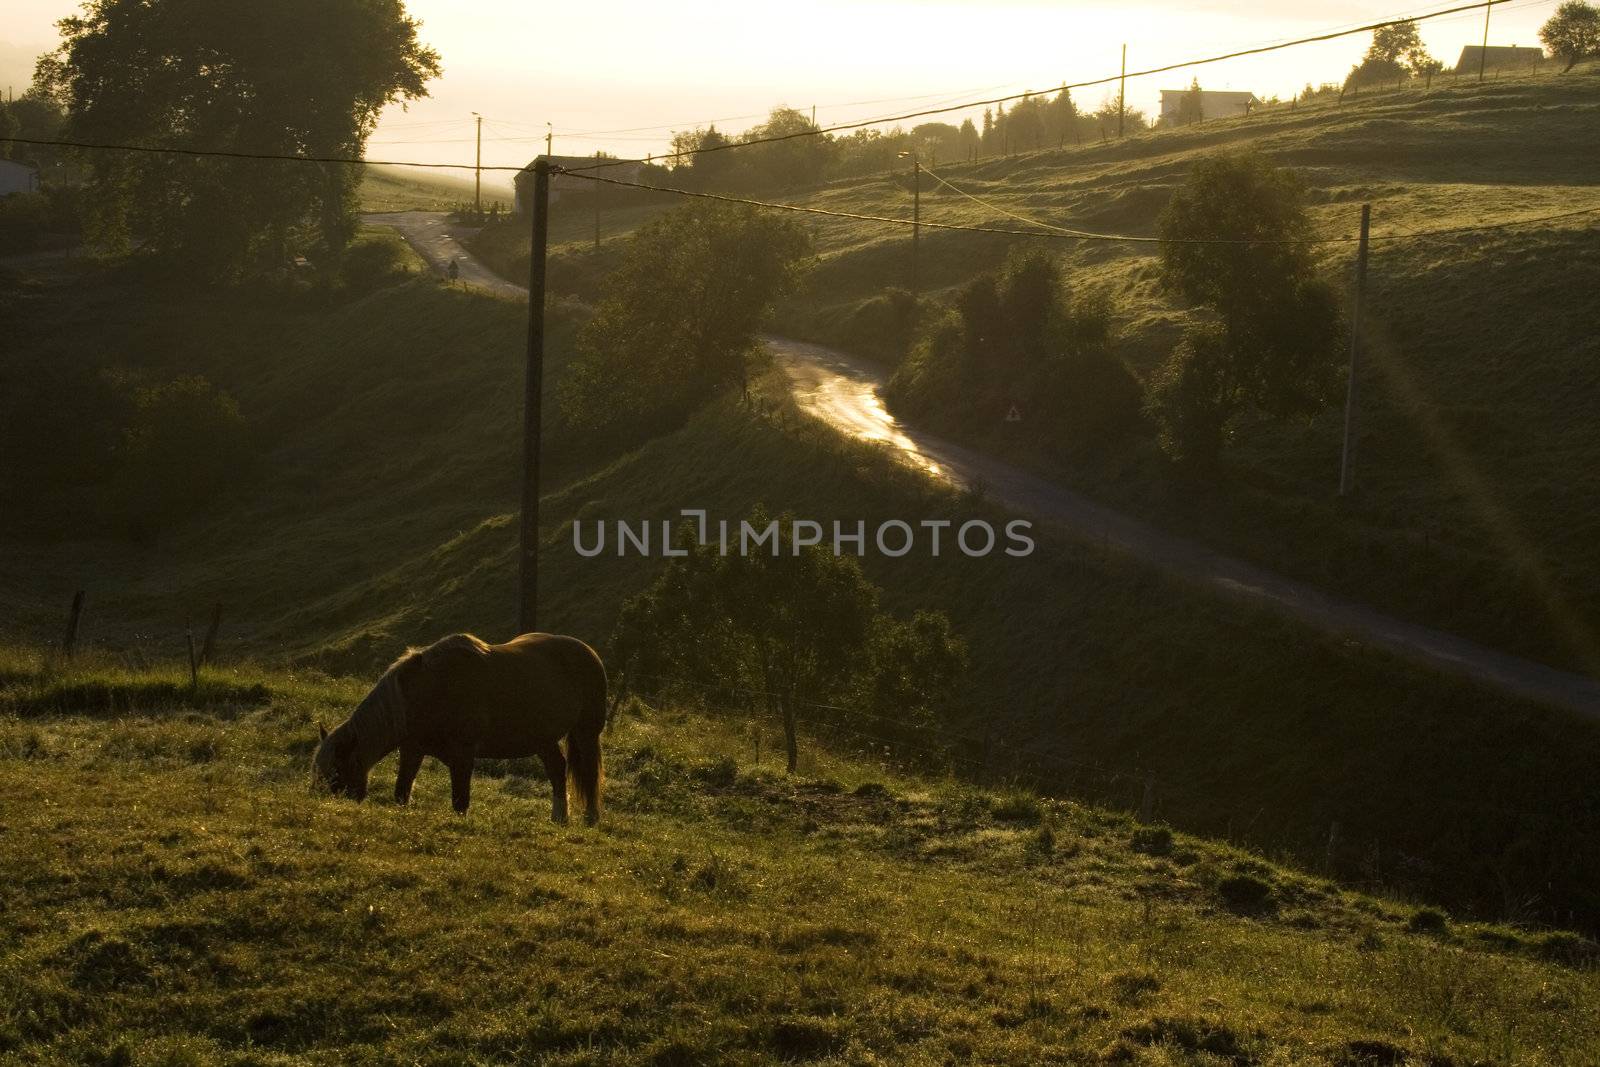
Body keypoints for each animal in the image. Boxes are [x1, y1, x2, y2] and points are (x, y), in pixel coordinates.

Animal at [310, 633, 604, 825]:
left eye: (336, 772)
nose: (319, 806)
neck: (431, 689)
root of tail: (588, 652)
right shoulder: (412, 750)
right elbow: (401, 793)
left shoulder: (462, 754)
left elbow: (460, 802)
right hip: (543, 739)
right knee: (557, 769)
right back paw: (559, 818)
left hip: (586, 733)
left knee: (589, 773)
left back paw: (590, 818)